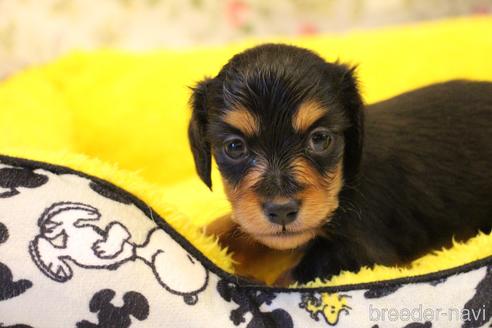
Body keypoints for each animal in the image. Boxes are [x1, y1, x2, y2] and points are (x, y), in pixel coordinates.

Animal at [187, 43, 492, 284]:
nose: (282, 211)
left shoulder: (361, 252)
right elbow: (230, 224)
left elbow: (291, 277)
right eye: (234, 147)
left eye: (320, 139)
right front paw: (197, 236)